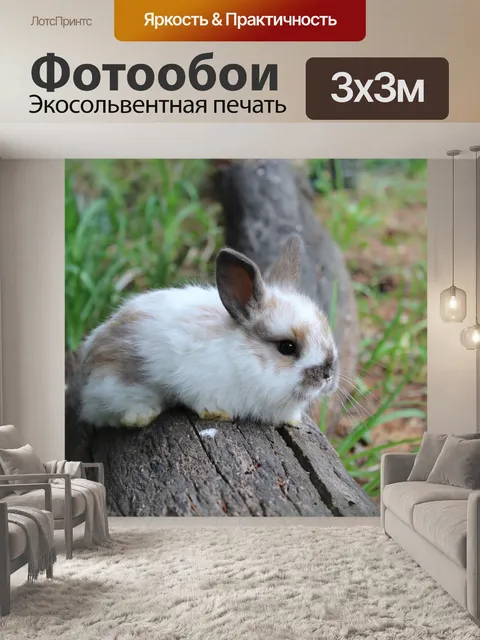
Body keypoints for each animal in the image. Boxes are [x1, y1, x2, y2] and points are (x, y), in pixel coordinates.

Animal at [72, 234, 339, 429]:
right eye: (287, 347)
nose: (328, 375)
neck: (241, 356)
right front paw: (219, 414)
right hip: (116, 385)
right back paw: (142, 416)